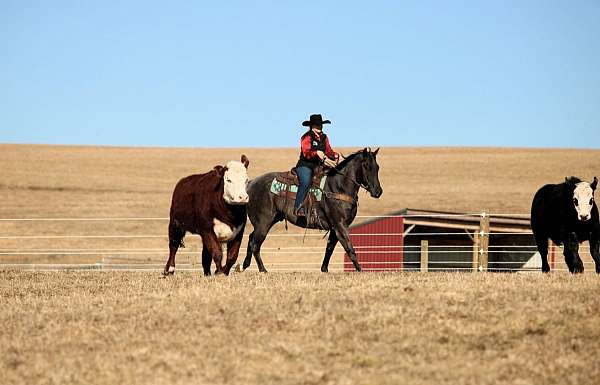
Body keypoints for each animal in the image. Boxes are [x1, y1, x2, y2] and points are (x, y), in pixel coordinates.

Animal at [241, 148, 382, 272]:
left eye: (377, 167)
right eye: (366, 166)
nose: (378, 191)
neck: (338, 186)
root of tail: (251, 183)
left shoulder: (334, 228)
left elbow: (329, 248)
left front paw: (324, 269)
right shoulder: (340, 225)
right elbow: (349, 248)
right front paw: (360, 270)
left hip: (269, 220)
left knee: (251, 238)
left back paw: (244, 265)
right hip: (264, 222)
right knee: (255, 244)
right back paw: (262, 269)